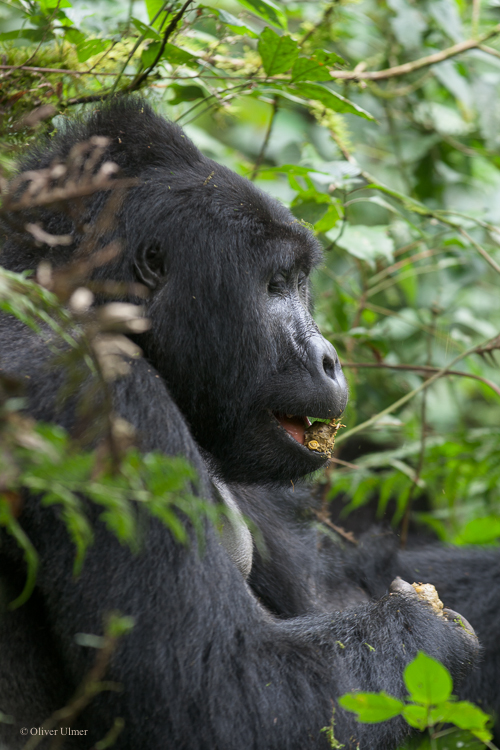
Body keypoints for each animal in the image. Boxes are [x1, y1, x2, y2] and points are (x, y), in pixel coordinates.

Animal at [0, 97, 498, 748]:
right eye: (275, 286)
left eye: (300, 284)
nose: (330, 358)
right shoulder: (102, 396)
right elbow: (220, 696)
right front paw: (434, 629)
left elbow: (330, 587)